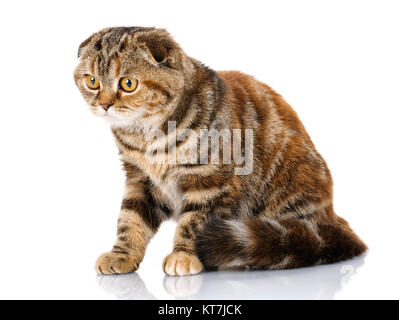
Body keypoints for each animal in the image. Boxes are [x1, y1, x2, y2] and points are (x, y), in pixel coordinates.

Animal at [73, 26, 368, 276]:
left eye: (128, 84)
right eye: (92, 81)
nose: (104, 105)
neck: (148, 137)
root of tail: (332, 216)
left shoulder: (210, 182)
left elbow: (194, 222)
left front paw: (184, 255)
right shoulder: (139, 180)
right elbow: (130, 220)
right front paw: (121, 254)